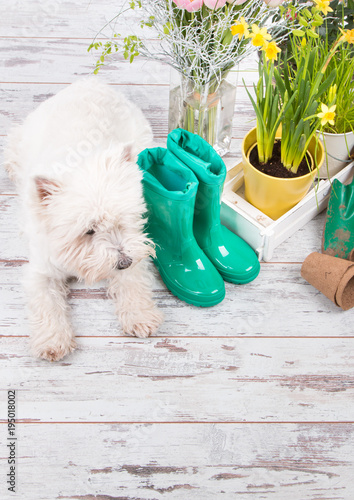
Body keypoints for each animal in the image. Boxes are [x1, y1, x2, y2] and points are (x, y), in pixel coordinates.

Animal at [3, 78, 163, 362]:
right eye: (89, 231)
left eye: (124, 220)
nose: (123, 262)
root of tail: (90, 81)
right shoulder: (41, 269)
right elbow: (46, 302)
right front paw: (53, 341)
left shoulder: (135, 246)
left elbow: (133, 280)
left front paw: (140, 316)